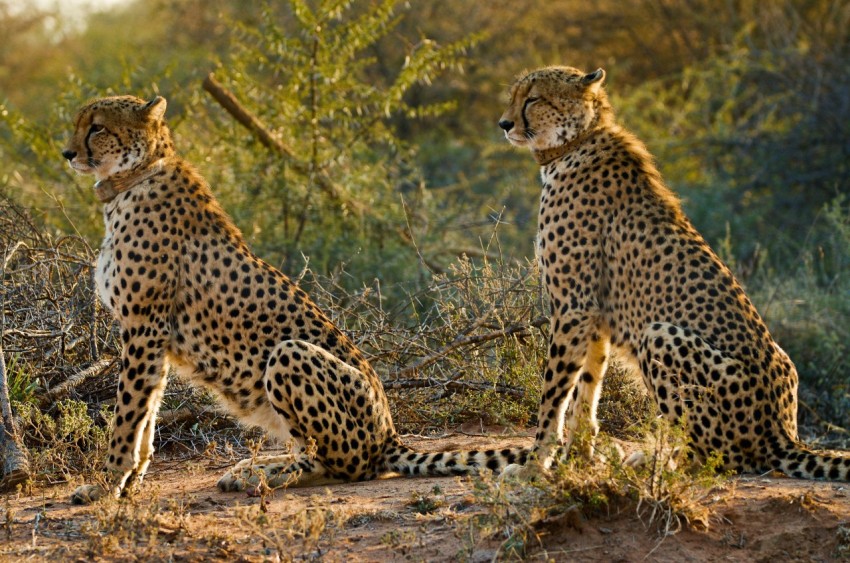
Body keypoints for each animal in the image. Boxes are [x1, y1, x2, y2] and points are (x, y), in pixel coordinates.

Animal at [61, 94, 524, 504]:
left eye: (97, 127)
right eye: (78, 123)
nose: (67, 153)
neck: (135, 176)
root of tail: (390, 434)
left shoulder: (144, 326)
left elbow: (127, 417)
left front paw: (105, 485)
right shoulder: (153, 338)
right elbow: (146, 417)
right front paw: (129, 484)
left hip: (289, 354)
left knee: (339, 465)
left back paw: (261, 472)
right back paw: (254, 468)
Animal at [496, 65, 848, 480]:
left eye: (533, 98)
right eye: (514, 95)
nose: (504, 123)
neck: (576, 142)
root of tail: (782, 433)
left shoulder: (574, 307)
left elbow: (553, 395)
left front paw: (535, 466)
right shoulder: (596, 316)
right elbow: (587, 390)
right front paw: (575, 460)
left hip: (660, 334)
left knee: (716, 457)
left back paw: (663, 466)